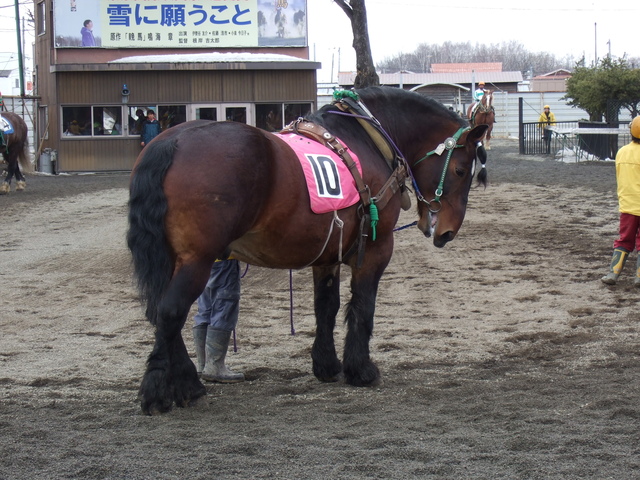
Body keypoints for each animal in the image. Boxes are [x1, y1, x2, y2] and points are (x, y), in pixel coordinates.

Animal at [127, 86, 489, 415]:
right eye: (460, 170)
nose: (447, 230)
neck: (369, 139)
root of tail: (172, 141)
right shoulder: (376, 249)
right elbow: (362, 307)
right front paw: (360, 370)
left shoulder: (327, 254)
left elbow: (326, 307)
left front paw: (326, 365)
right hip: (197, 261)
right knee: (170, 312)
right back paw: (167, 390)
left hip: (174, 259)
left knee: (162, 314)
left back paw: (183, 383)